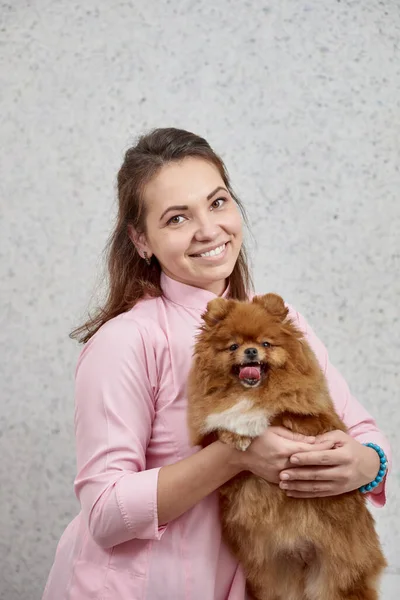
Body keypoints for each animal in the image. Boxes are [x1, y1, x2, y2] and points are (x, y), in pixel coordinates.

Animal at [188, 294, 388, 600]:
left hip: (338, 577)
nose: (250, 351)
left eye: (265, 344)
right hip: (278, 580)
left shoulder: (318, 421)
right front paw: (237, 434)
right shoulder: (207, 435)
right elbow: (221, 424)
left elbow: (281, 409)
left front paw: (255, 419)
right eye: (233, 346)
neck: (250, 390)